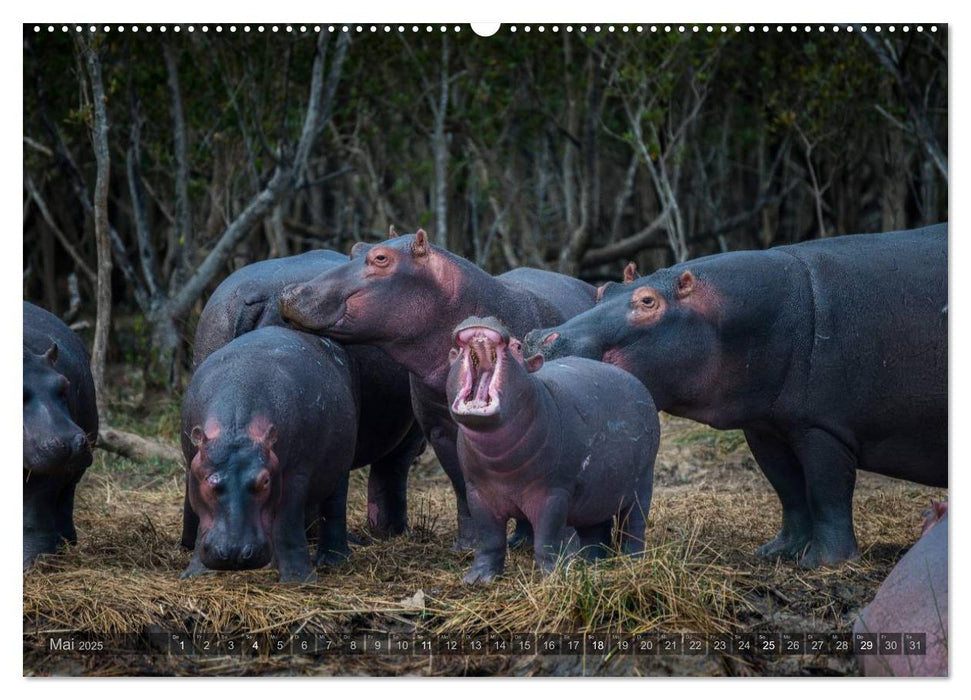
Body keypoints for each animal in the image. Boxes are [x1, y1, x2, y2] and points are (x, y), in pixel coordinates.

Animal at [180, 328, 358, 584]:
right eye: (208, 481)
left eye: (264, 481)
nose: (234, 553)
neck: (235, 429)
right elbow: (200, 526)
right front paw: (194, 573)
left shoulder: (296, 474)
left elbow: (287, 524)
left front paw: (298, 580)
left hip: (339, 467)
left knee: (334, 507)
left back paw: (333, 559)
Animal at [446, 314, 660, 584]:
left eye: (518, 346)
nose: (484, 316)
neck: (495, 455)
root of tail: (638, 383)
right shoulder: (478, 493)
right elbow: (489, 540)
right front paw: (477, 579)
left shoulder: (552, 494)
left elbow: (546, 541)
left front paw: (552, 579)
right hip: (597, 491)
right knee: (595, 531)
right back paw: (590, 564)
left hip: (643, 481)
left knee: (634, 524)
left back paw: (633, 563)